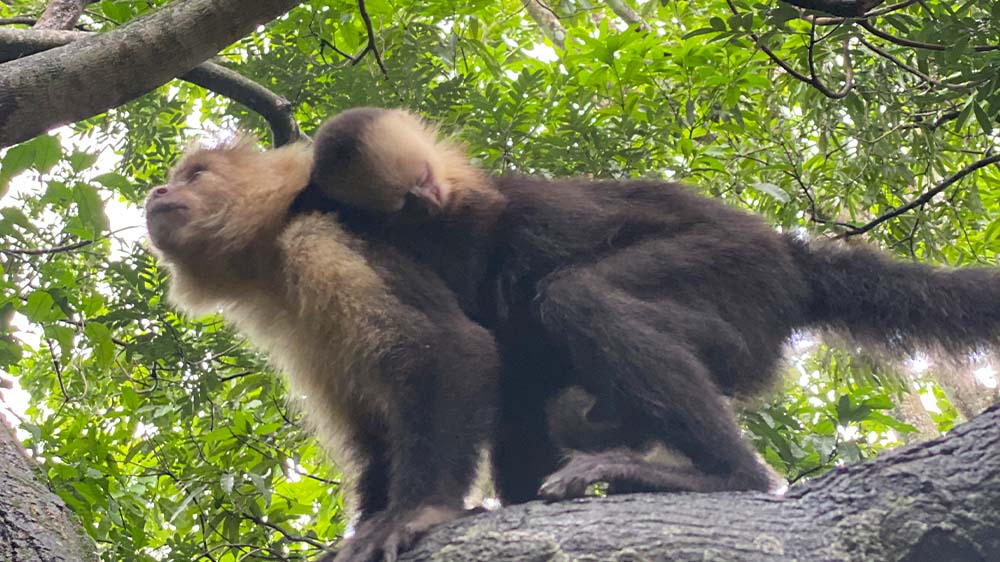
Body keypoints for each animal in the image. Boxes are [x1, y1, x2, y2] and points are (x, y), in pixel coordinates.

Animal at [142, 139, 500, 560]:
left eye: (196, 176)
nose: (158, 192)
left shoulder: (318, 237)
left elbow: (448, 348)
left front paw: (417, 510)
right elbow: (373, 431)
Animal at [298, 105, 1000, 504]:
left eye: (418, 192)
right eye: (396, 208)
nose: (424, 201)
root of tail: (789, 256)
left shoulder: (469, 220)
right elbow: (502, 382)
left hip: (735, 273)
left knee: (579, 298)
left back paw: (728, 476)